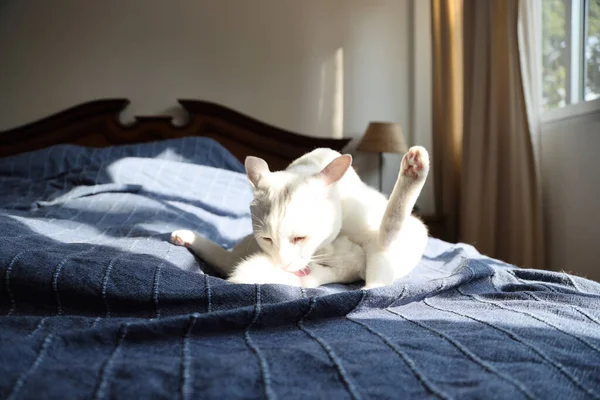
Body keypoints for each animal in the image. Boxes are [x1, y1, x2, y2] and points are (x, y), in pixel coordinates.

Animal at [171, 145, 428, 290]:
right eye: (267, 239)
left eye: (300, 238)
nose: (283, 264)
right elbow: (220, 255)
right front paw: (185, 236)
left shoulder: (377, 236)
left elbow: (389, 227)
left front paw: (414, 168)